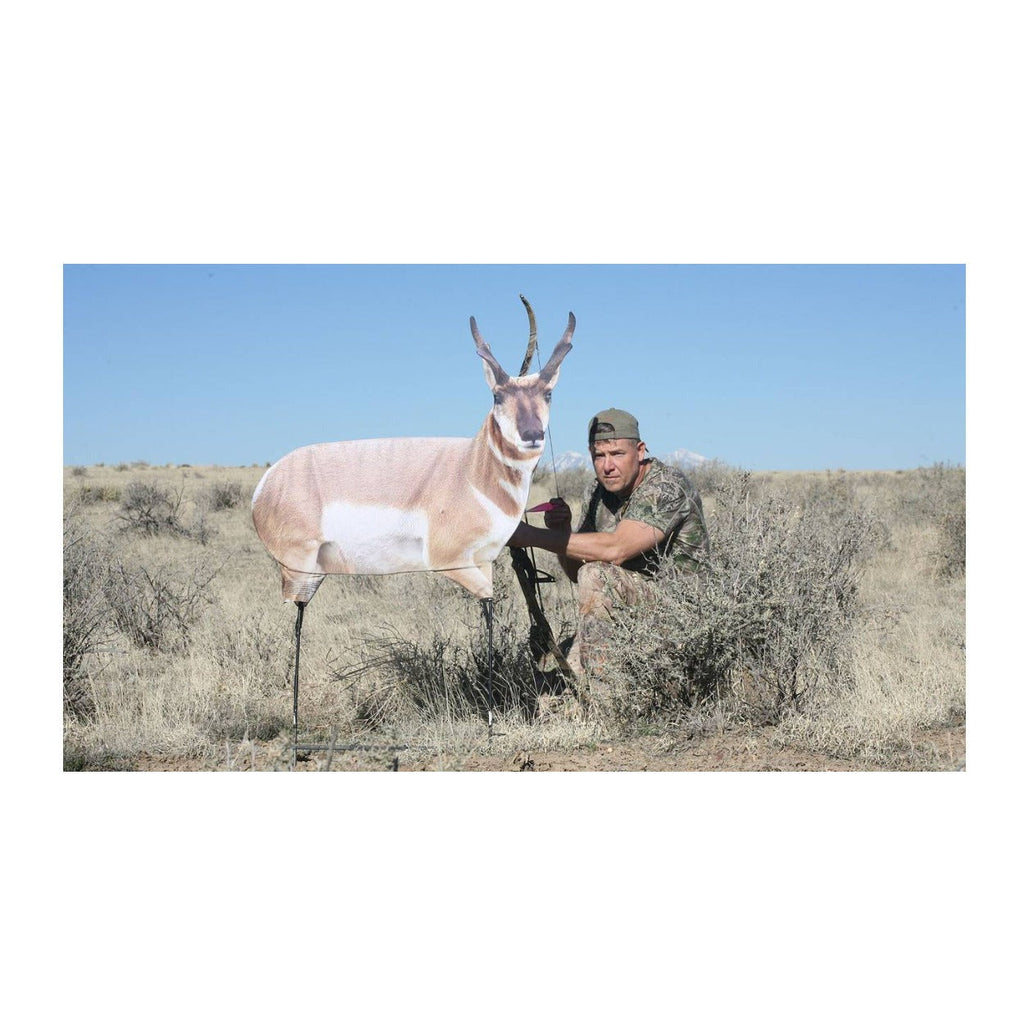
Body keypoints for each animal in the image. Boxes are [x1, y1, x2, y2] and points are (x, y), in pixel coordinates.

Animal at [252, 296, 575, 749]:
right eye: (497, 395)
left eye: (548, 392)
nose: (532, 434)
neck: (471, 469)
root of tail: (265, 484)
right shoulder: (457, 563)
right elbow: (489, 610)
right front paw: (491, 722)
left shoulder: (485, 563)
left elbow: (491, 611)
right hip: (302, 571)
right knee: (297, 617)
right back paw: (297, 730)